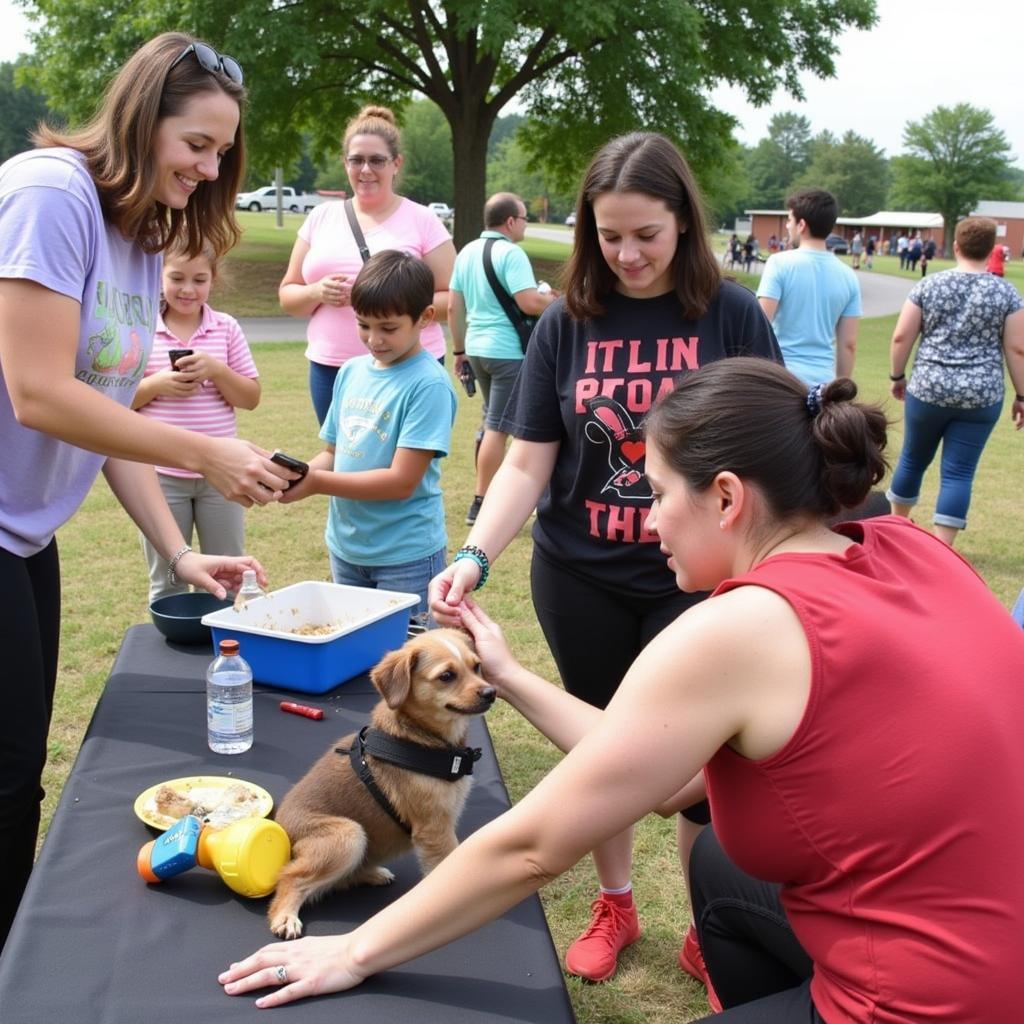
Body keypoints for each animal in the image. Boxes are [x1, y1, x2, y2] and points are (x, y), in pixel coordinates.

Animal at [268, 626, 495, 937]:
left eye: (477, 666)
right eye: (447, 676)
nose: (491, 692)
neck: (422, 739)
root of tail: (281, 826)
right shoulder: (435, 829)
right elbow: (447, 868)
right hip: (348, 835)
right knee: (291, 876)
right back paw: (285, 915)